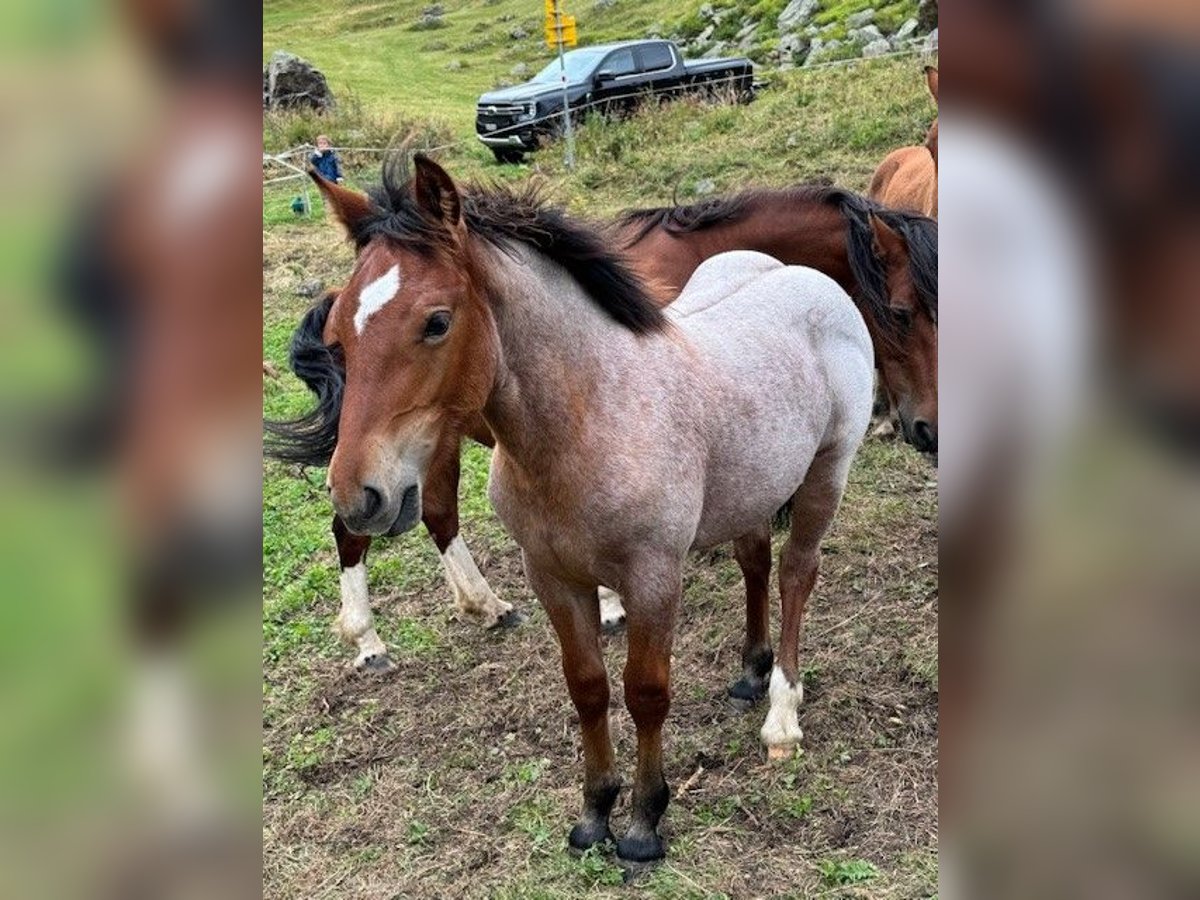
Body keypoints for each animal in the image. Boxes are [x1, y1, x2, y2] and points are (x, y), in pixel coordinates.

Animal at [278, 157, 873, 868]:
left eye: (437, 322)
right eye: (338, 334)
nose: (357, 496)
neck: (587, 421)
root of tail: (806, 276)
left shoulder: (653, 576)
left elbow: (646, 691)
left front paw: (644, 823)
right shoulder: (552, 576)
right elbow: (587, 687)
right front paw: (594, 815)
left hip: (826, 472)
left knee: (795, 574)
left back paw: (782, 714)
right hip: (753, 482)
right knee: (754, 560)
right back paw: (751, 672)